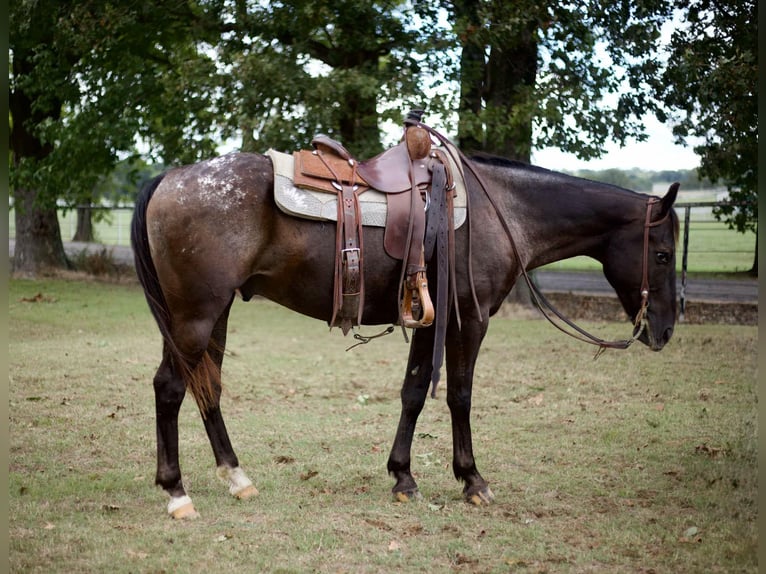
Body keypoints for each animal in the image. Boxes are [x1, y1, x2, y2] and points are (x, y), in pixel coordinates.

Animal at [130, 145, 680, 519]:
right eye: (662, 254)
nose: (666, 328)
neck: (499, 209)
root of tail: (171, 177)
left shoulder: (429, 321)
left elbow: (414, 393)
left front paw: (403, 477)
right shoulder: (469, 320)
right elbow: (459, 394)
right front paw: (472, 480)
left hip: (211, 314)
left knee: (207, 386)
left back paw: (237, 477)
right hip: (196, 315)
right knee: (171, 388)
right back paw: (177, 493)